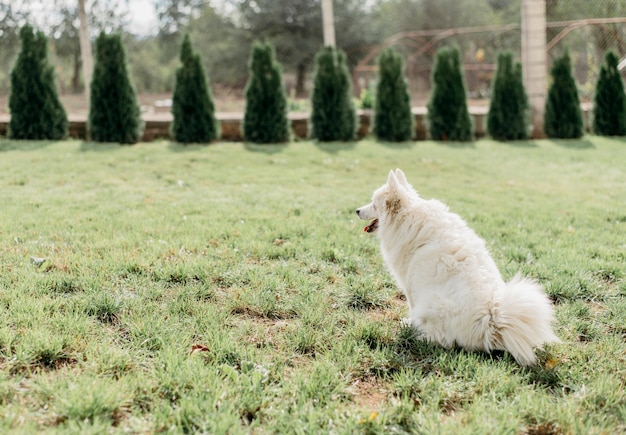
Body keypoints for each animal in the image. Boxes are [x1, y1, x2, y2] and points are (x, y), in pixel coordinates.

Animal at [354, 169, 560, 366]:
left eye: (373, 205)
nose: (356, 210)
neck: (408, 217)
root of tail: (491, 322)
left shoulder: (409, 284)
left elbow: (411, 307)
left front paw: (409, 322)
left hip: (432, 303)